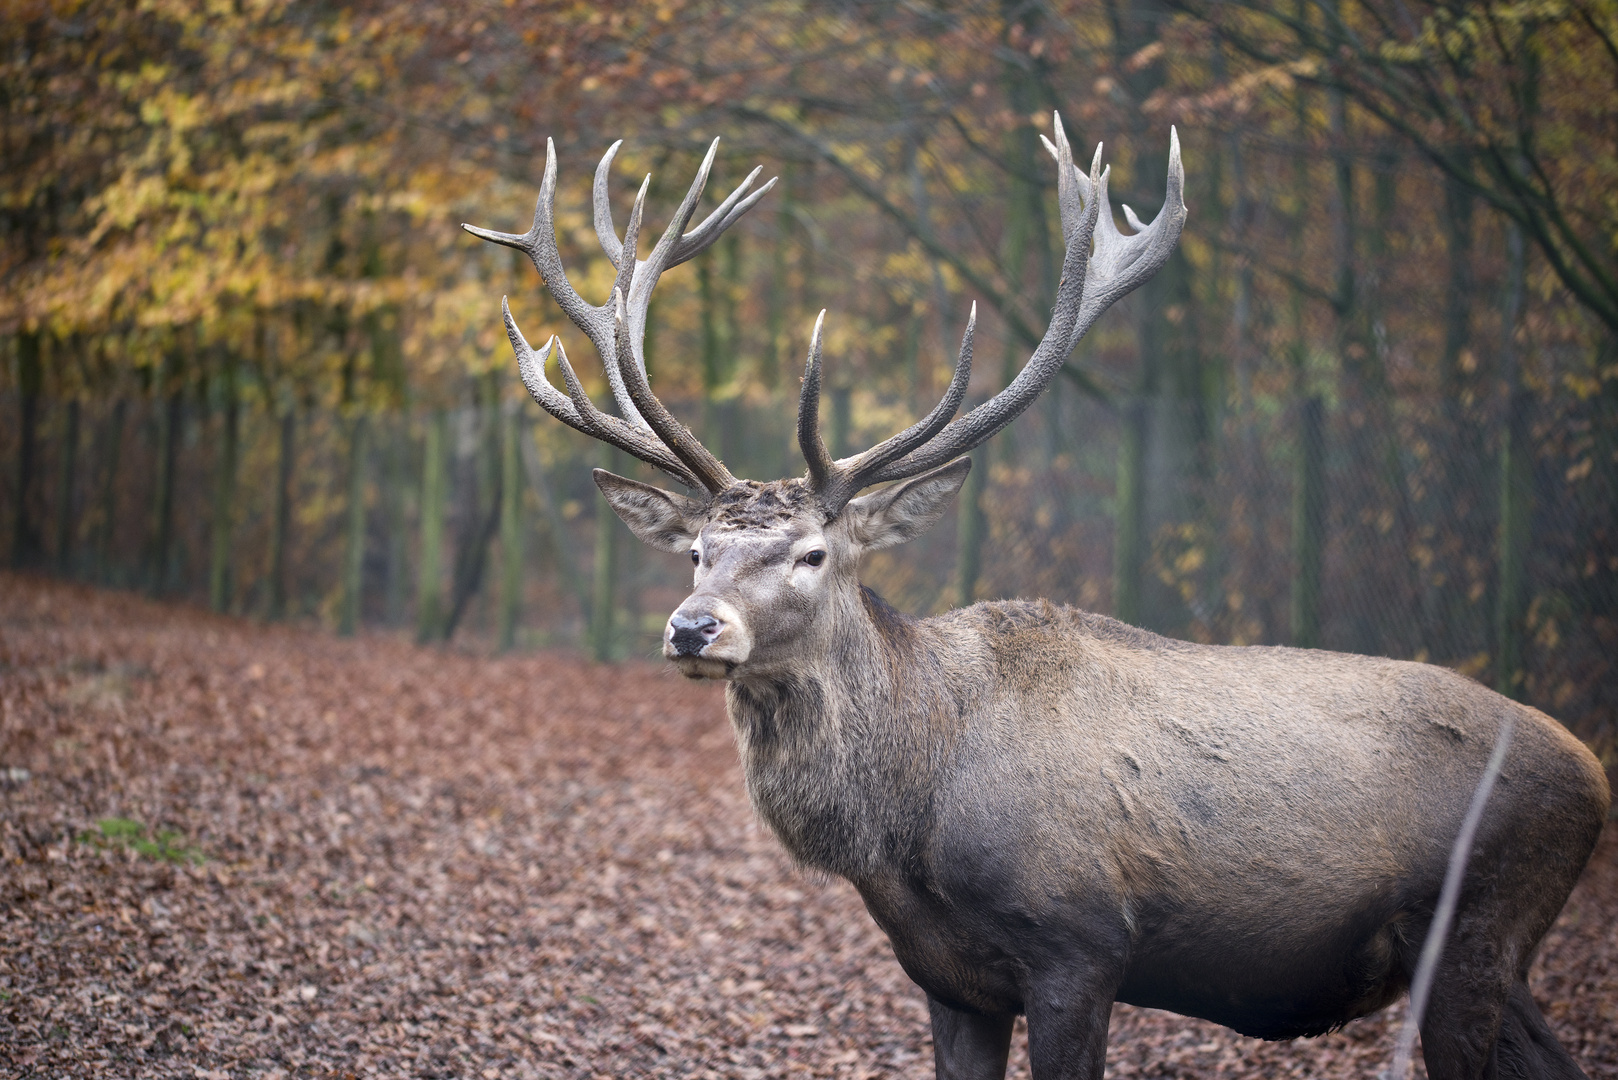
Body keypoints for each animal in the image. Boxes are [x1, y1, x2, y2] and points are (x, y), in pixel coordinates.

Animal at [465, 118, 1605, 1080]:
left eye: (811, 554)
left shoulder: (1079, 945)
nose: (693, 627)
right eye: (698, 550)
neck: (909, 819)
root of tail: (1593, 776)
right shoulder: (947, 980)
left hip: (1475, 926)